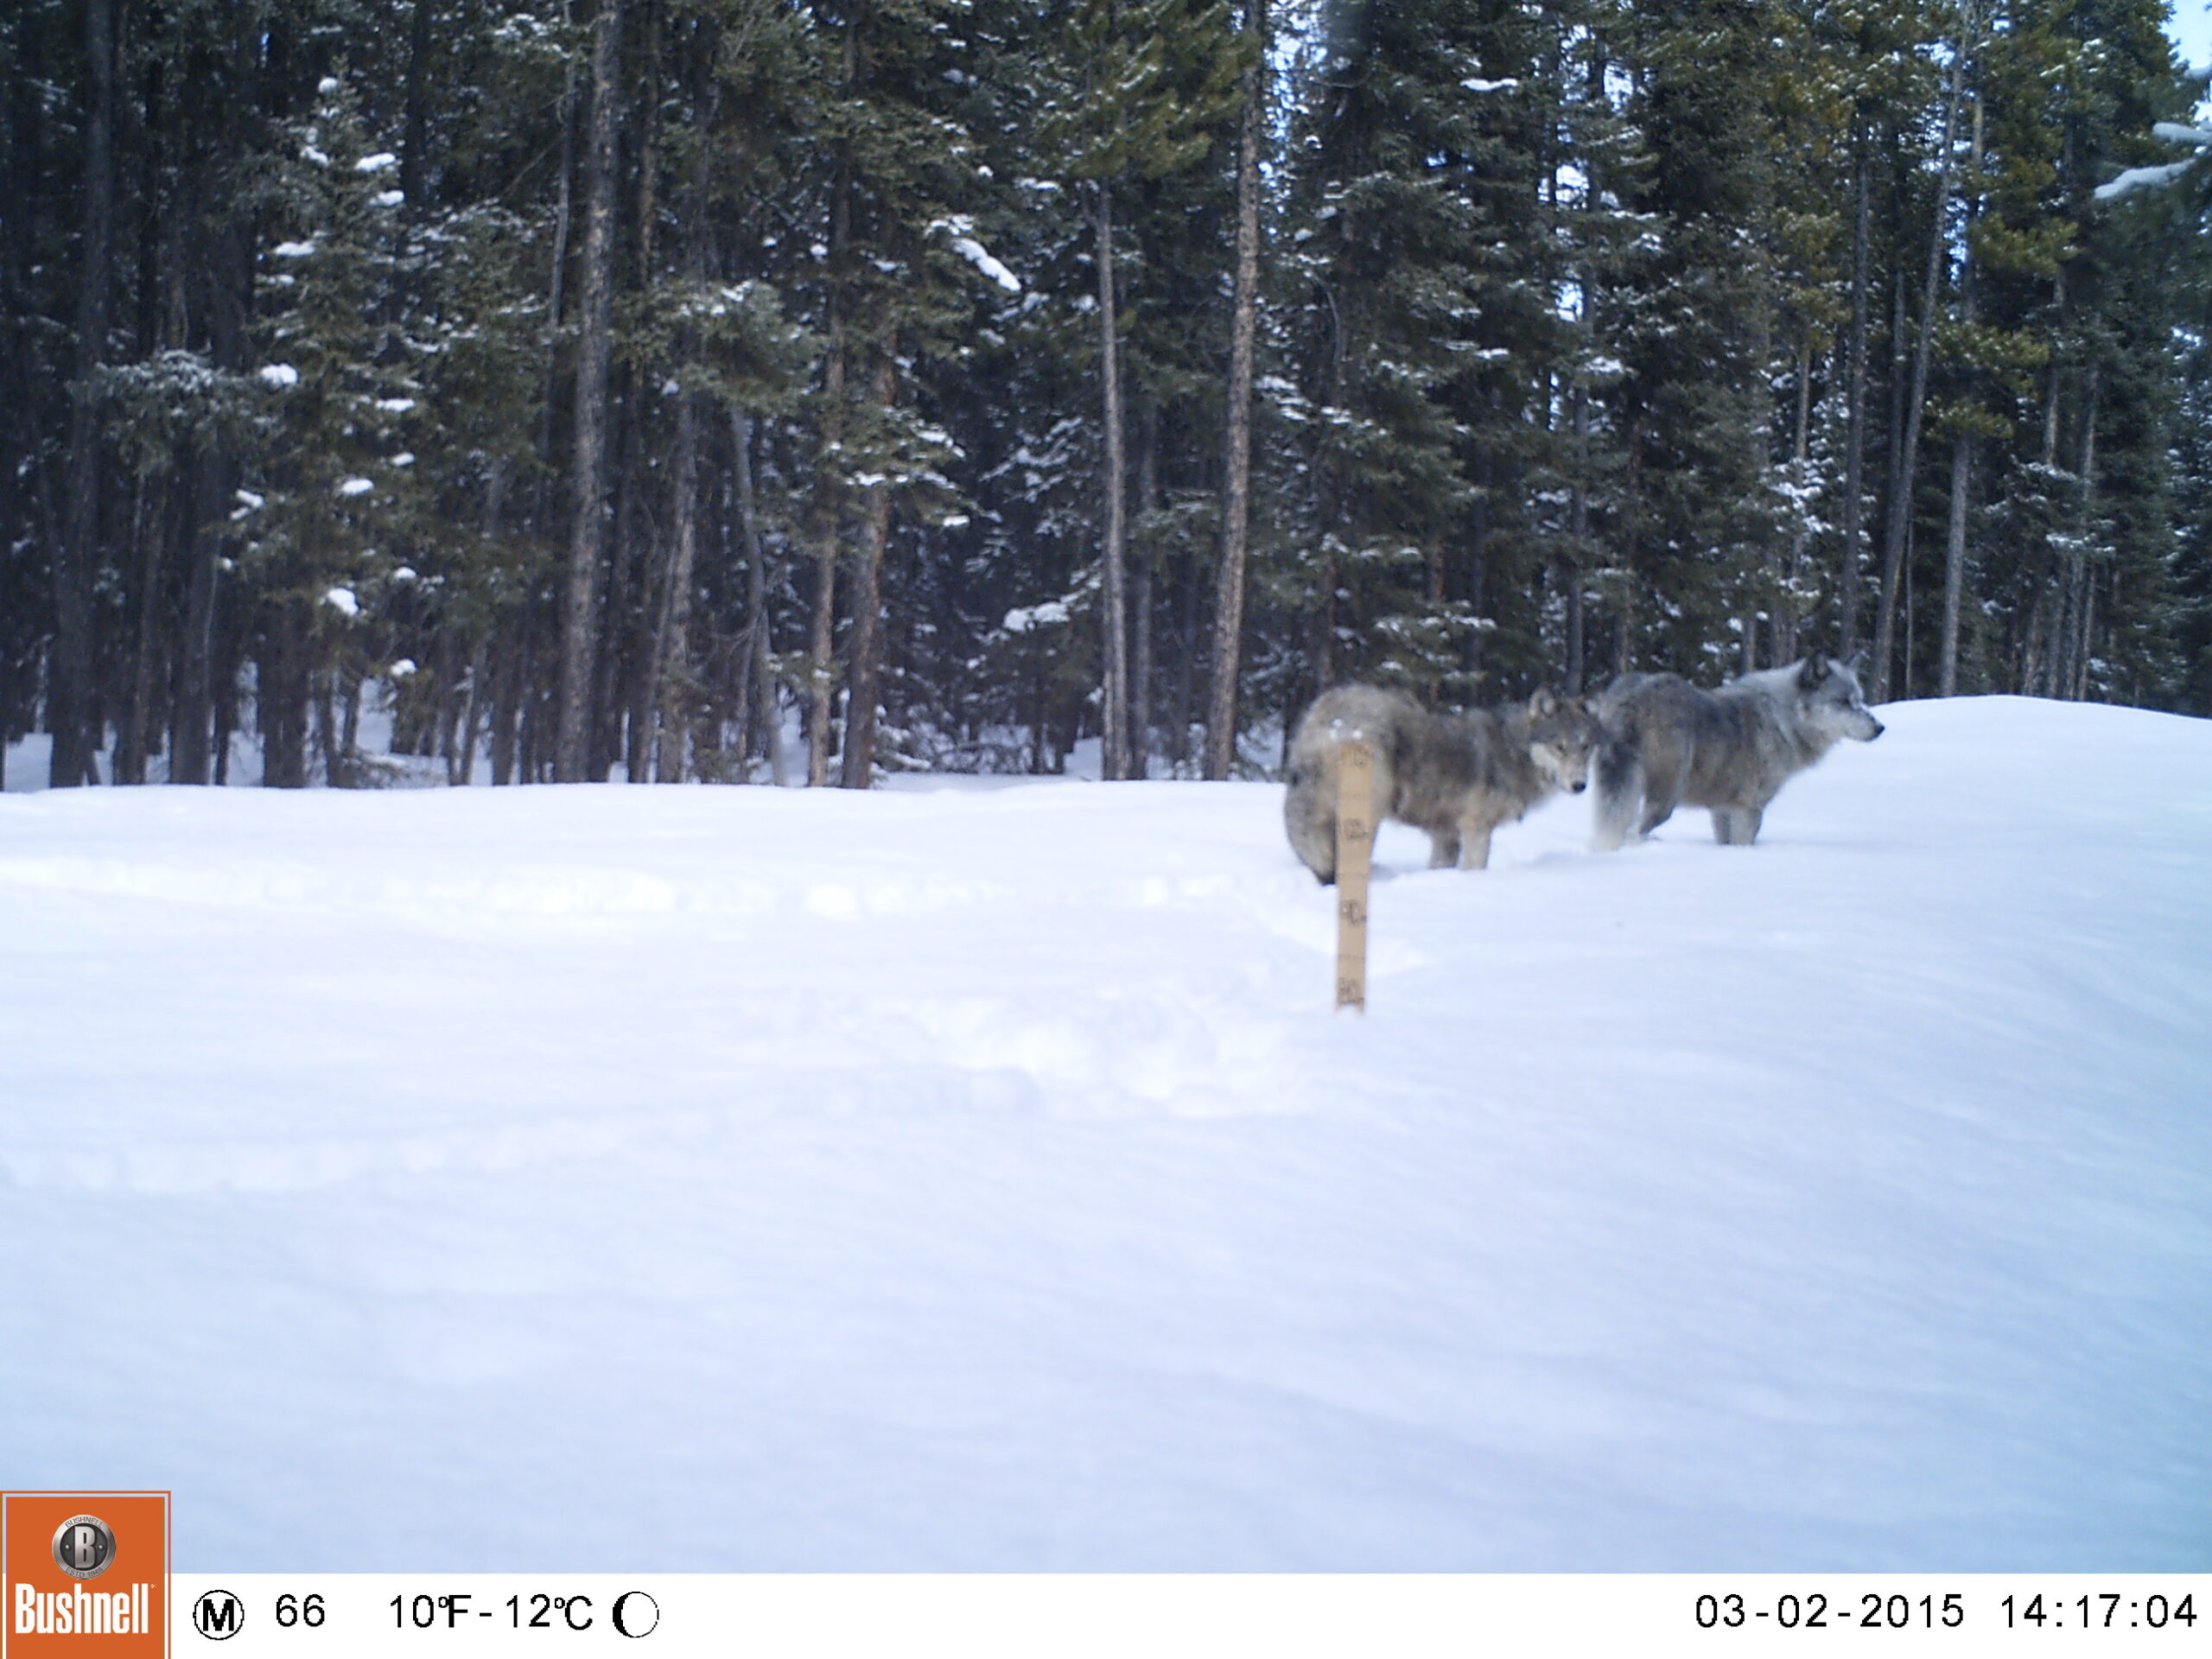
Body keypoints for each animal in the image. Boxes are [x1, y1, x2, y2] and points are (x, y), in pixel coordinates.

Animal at [1282, 685, 1610, 885]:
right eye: (1559, 747)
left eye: (1585, 747)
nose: (1580, 785)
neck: (1511, 750)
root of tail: (1323, 713)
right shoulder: (1476, 829)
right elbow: (1476, 867)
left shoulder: (1446, 836)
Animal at [1592, 654, 1885, 849]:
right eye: (1844, 702)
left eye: (1860, 700)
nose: (1880, 728)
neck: (1783, 720)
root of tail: (1635, 694)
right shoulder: (1750, 808)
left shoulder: (1723, 809)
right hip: (1664, 802)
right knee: (1633, 832)